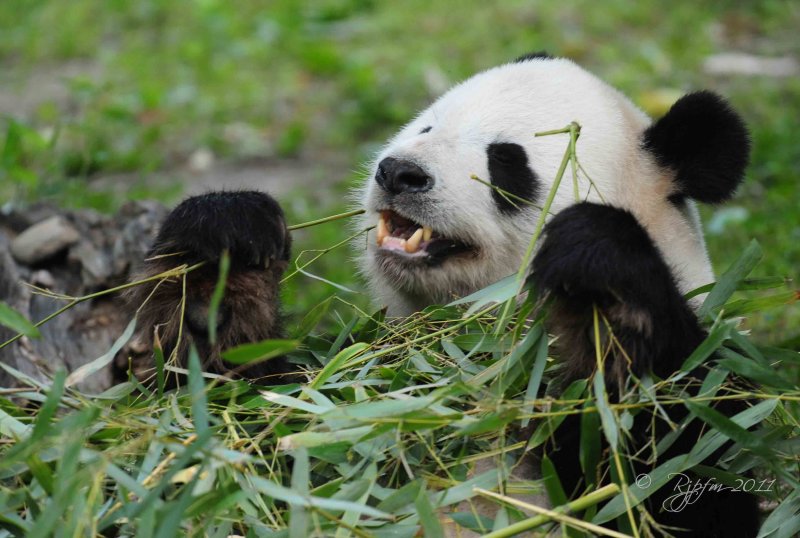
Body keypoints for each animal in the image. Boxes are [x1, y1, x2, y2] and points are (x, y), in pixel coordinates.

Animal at [130, 52, 756, 532]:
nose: (399, 173)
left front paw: (596, 261)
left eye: (506, 162)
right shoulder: (350, 379)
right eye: (428, 127)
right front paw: (226, 235)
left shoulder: (714, 390)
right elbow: (216, 419)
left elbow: (664, 466)